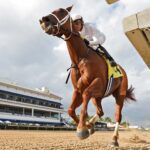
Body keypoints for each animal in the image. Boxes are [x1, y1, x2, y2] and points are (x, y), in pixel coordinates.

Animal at [39, 6, 135, 148]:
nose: (44, 20)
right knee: (100, 112)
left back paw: (114, 140)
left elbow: (85, 97)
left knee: (118, 116)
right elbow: (70, 110)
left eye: (61, 10)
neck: (81, 58)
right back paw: (91, 125)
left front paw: (82, 129)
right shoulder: (78, 89)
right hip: (98, 97)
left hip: (120, 94)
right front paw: (85, 127)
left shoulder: (97, 84)